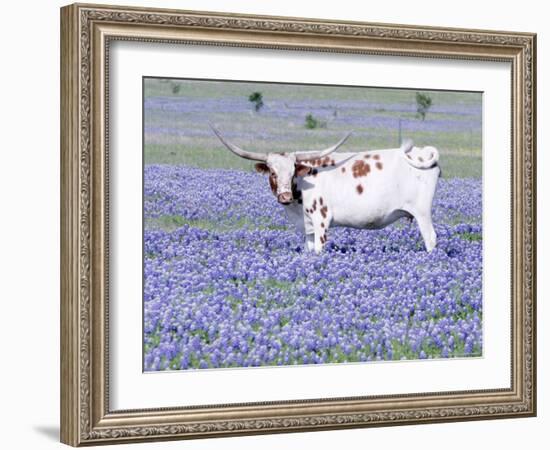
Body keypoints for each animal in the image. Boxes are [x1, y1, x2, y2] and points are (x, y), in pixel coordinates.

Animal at [209, 125, 442, 253]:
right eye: (273, 173)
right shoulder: (308, 228)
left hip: (422, 212)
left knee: (430, 238)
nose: (284, 196)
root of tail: (422, 152)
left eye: (292, 171)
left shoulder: (321, 221)